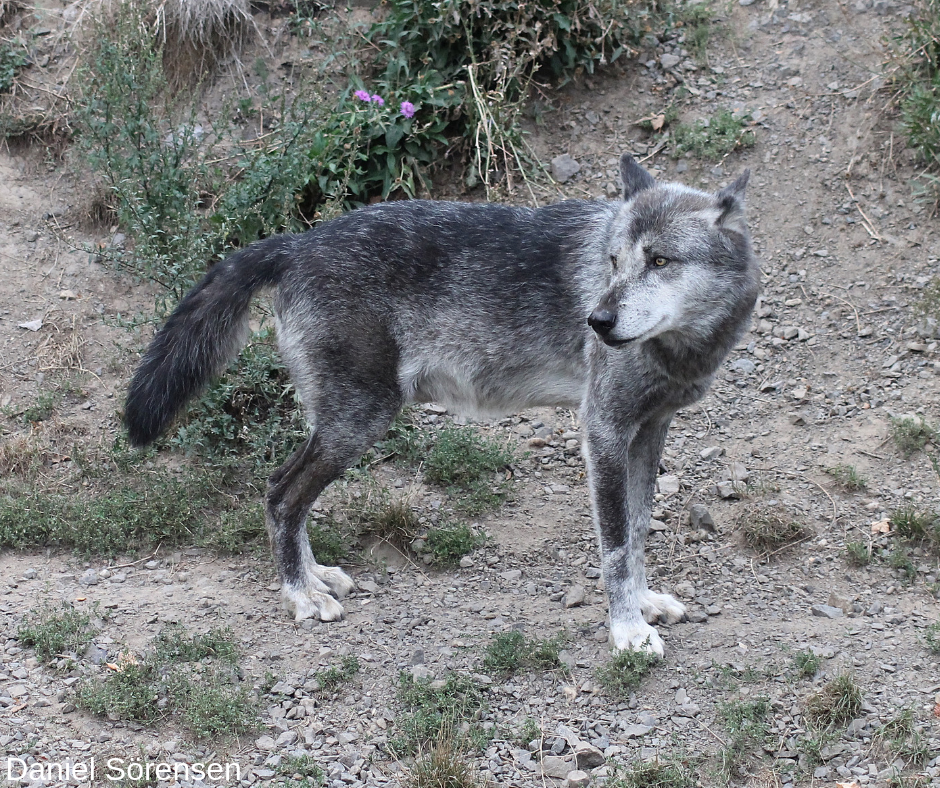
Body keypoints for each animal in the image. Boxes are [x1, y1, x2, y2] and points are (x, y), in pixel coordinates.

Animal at [125, 154, 759, 655]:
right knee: (280, 494)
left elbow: (639, 530)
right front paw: (627, 632)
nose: (596, 321)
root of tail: (297, 242)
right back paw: (301, 596)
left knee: (290, 500)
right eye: (612, 263)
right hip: (360, 423)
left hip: (342, 424)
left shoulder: (648, 434)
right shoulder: (602, 432)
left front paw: (645, 603)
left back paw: (315, 576)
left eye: (660, 261)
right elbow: (616, 547)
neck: (681, 348)